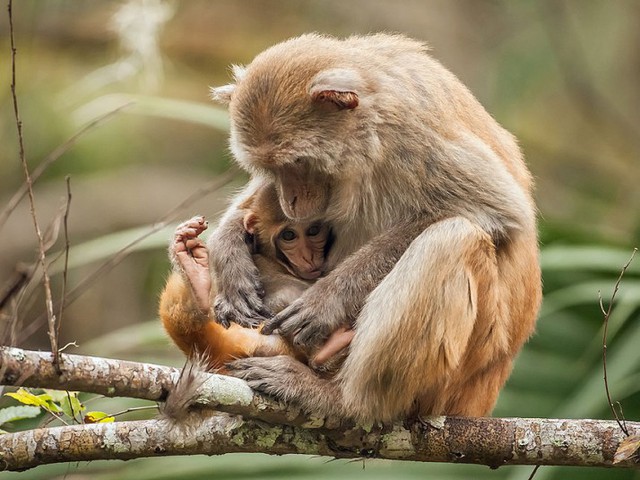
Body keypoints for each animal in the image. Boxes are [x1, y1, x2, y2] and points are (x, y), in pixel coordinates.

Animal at [209, 33, 540, 422]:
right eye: (272, 169)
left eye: (298, 163)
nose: (291, 200)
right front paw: (229, 256)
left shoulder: (412, 137)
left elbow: (499, 210)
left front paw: (326, 301)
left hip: (461, 377)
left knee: (453, 238)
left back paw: (344, 401)